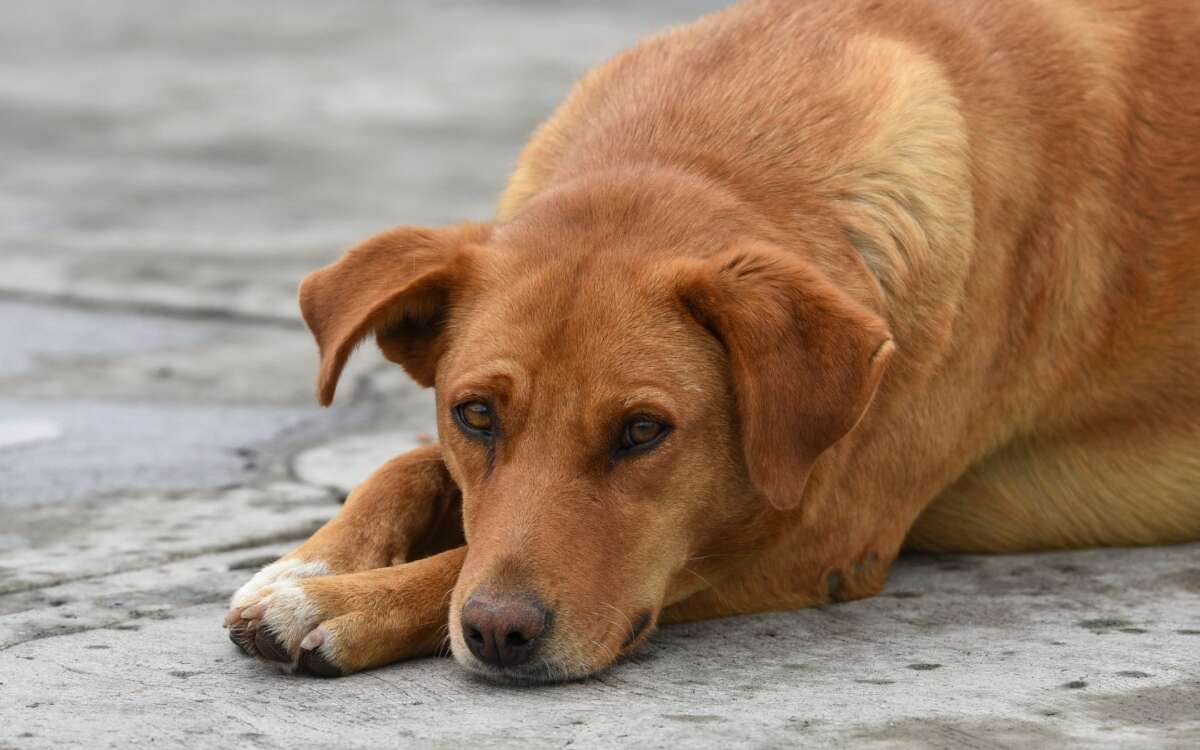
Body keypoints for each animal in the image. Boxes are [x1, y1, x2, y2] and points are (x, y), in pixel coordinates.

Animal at [223, 0, 1200, 676]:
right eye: (474, 417)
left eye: (643, 432)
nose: (499, 632)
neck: (705, 147)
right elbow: (409, 469)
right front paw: (307, 566)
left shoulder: (813, 534)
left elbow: (462, 557)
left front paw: (345, 604)